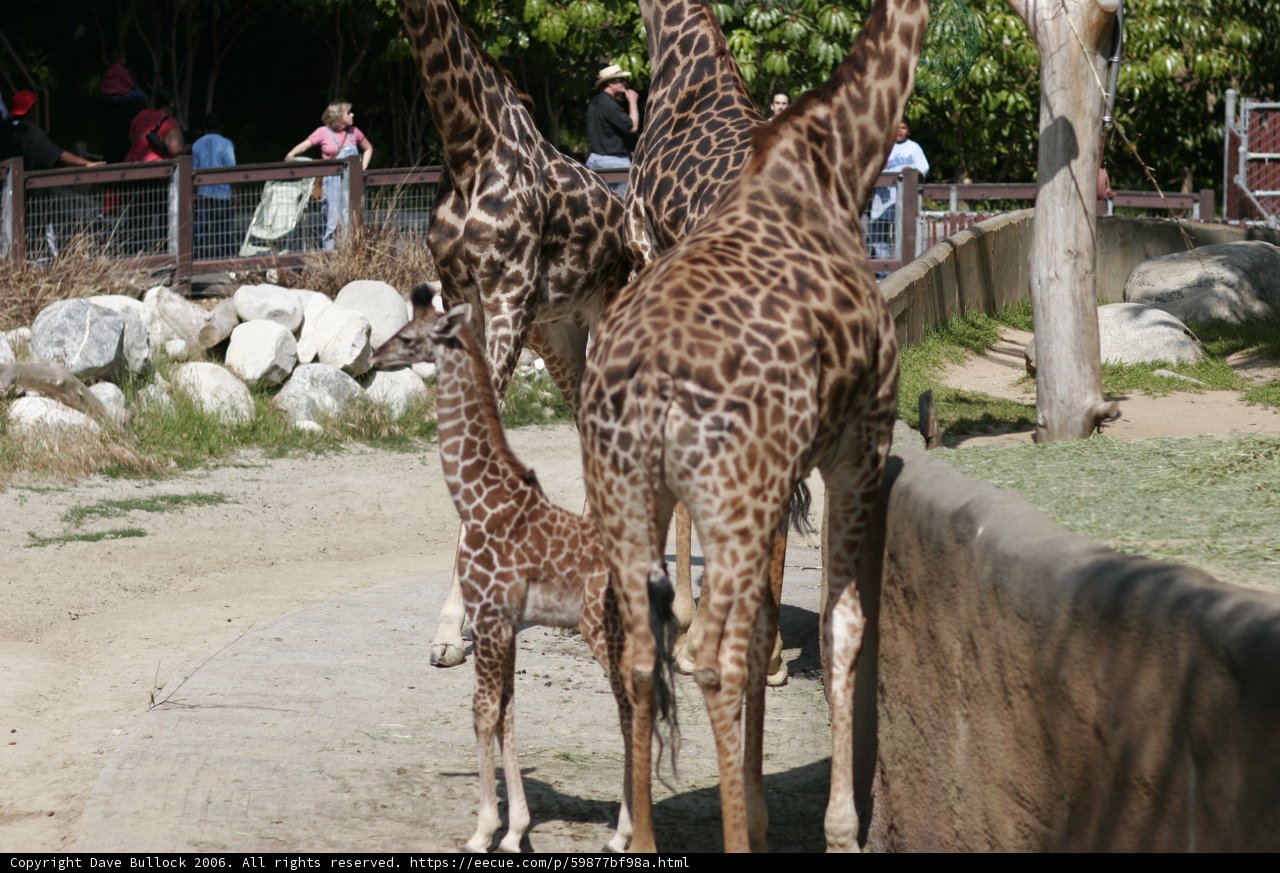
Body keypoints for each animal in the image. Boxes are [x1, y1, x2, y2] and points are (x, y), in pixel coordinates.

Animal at [371, 287, 633, 853]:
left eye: (409, 335)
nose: (375, 357)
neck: (480, 499)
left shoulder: (491, 618)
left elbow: (482, 713)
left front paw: (483, 831)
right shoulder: (506, 624)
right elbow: (508, 713)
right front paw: (515, 831)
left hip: (599, 627)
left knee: (634, 705)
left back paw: (625, 833)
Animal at [401, 0, 631, 669]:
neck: (467, 147)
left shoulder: (508, 297)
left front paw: (455, 627)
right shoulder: (463, 297)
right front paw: (451, 629)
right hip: (559, 335)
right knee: (585, 422)